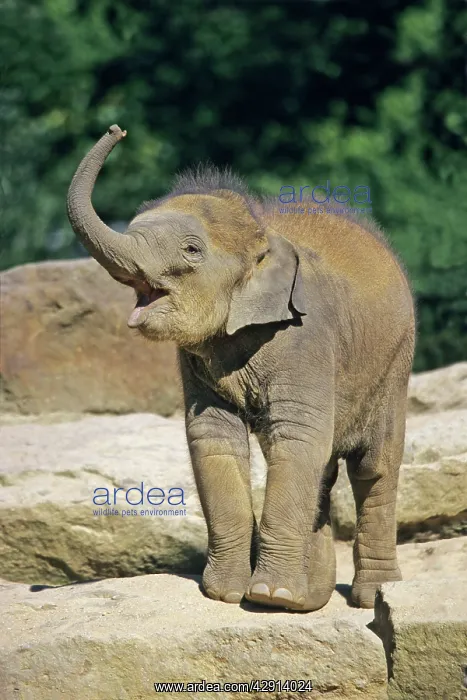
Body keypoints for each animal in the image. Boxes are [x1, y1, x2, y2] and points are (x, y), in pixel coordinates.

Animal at [67, 124, 415, 611]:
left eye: (192, 250)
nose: (119, 129)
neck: (261, 237)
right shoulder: (195, 361)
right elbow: (214, 436)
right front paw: (227, 594)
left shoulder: (305, 338)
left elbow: (298, 436)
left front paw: (270, 596)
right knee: (323, 467)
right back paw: (311, 598)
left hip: (394, 366)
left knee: (373, 468)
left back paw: (370, 596)